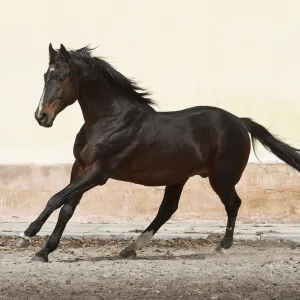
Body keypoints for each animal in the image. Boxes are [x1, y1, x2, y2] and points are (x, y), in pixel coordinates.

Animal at [15, 43, 300, 262]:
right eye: (45, 76)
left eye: (62, 77)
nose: (41, 116)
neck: (110, 120)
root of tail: (240, 122)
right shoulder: (81, 169)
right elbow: (67, 207)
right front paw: (43, 252)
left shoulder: (98, 173)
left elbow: (55, 199)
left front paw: (26, 236)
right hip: (179, 177)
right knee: (168, 209)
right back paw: (130, 248)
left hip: (221, 178)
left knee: (233, 204)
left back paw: (222, 246)